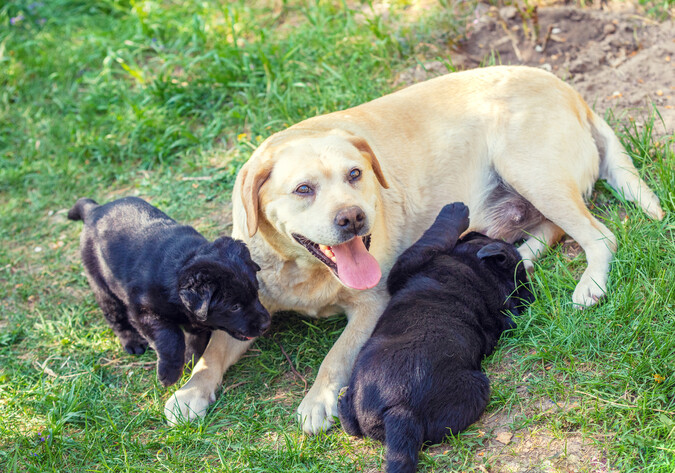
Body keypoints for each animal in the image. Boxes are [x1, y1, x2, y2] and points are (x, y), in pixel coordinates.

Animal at [68, 195, 270, 384]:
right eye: (234, 307)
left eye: (256, 293)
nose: (266, 324)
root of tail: (94, 209)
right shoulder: (142, 312)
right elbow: (171, 337)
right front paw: (170, 373)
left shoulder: (195, 322)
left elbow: (195, 340)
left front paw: (190, 362)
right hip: (101, 285)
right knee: (115, 318)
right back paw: (133, 342)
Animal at [165, 65, 664, 432]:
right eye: (303, 189)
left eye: (355, 174)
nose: (353, 218)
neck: (304, 270)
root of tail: (570, 91)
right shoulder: (247, 308)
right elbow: (212, 353)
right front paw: (189, 393)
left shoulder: (371, 306)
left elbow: (337, 354)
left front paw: (319, 398)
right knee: (545, 234)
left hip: (530, 171)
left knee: (597, 235)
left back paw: (590, 284)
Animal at [338, 202, 532, 472]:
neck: (484, 273)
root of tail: (401, 410)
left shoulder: (405, 266)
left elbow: (432, 238)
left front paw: (455, 210)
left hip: (476, 388)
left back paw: (341, 402)